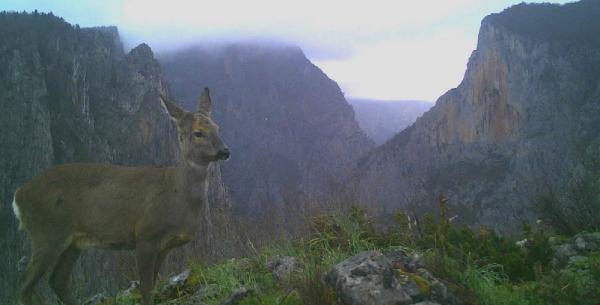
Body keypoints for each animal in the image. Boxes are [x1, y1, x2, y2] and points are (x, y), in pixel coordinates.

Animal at [14, 87, 230, 304]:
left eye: (218, 127)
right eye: (198, 133)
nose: (225, 151)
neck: (177, 195)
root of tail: (18, 195)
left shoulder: (165, 246)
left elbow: (153, 284)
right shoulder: (146, 236)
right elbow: (145, 288)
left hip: (73, 242)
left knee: (57, 281)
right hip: (46, 232)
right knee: (25, 283)